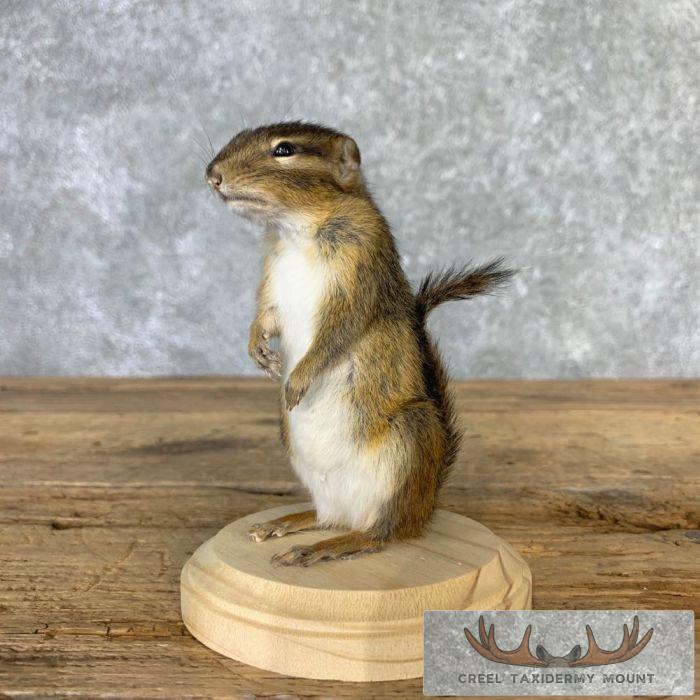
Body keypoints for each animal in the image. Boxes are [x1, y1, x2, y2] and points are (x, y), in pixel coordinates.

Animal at [205, 121, 513, 567]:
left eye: (284, 150)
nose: (212, 175)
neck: (299, 231)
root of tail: (424, 507)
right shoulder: (272, 283)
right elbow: (266, 317)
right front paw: (258, 351)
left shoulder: (359, 277)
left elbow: (335, 336)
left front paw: (297, 379)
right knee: (329, 518)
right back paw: (286, 524)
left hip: (409, 440)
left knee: (379, 535)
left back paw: (325, 548)